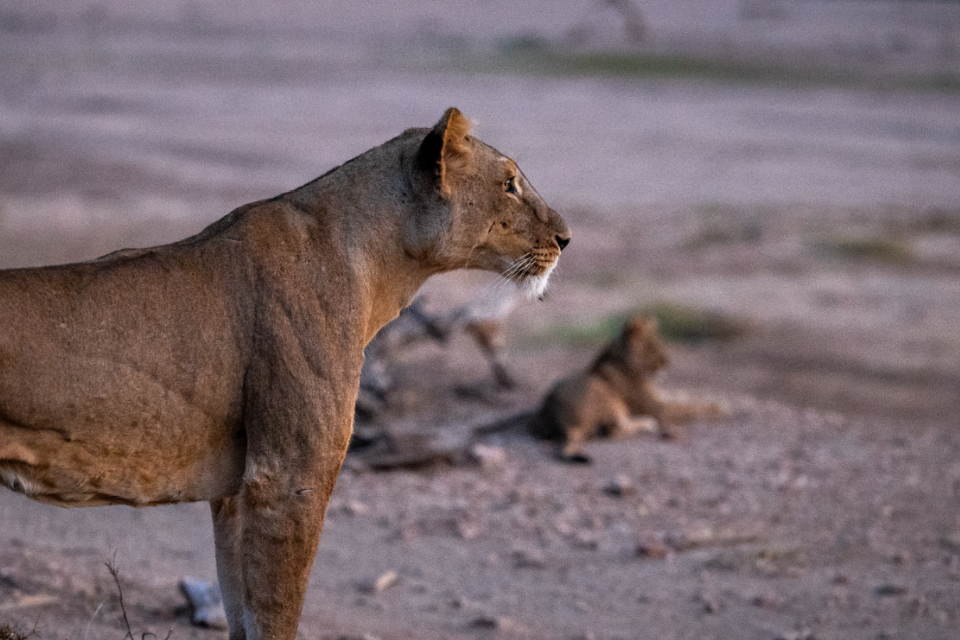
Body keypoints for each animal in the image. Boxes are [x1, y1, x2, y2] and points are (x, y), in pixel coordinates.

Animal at [0, 108, 570, 640]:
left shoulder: (235, 492)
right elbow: (278, 614)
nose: (566, 238)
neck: (377, 265)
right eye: (509, 183)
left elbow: (243, 612)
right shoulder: (288, 477)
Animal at [529, 315, 723, 462]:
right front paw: (720, 407)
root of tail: (564, 423)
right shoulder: (657, 408)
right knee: (614, 430)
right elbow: (690, 406)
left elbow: (685, 396)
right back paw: (648, 423)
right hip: (604, 394)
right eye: (652, 347)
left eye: (660, 343)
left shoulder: (659, 397)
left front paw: (716, 399)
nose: (667, 363)